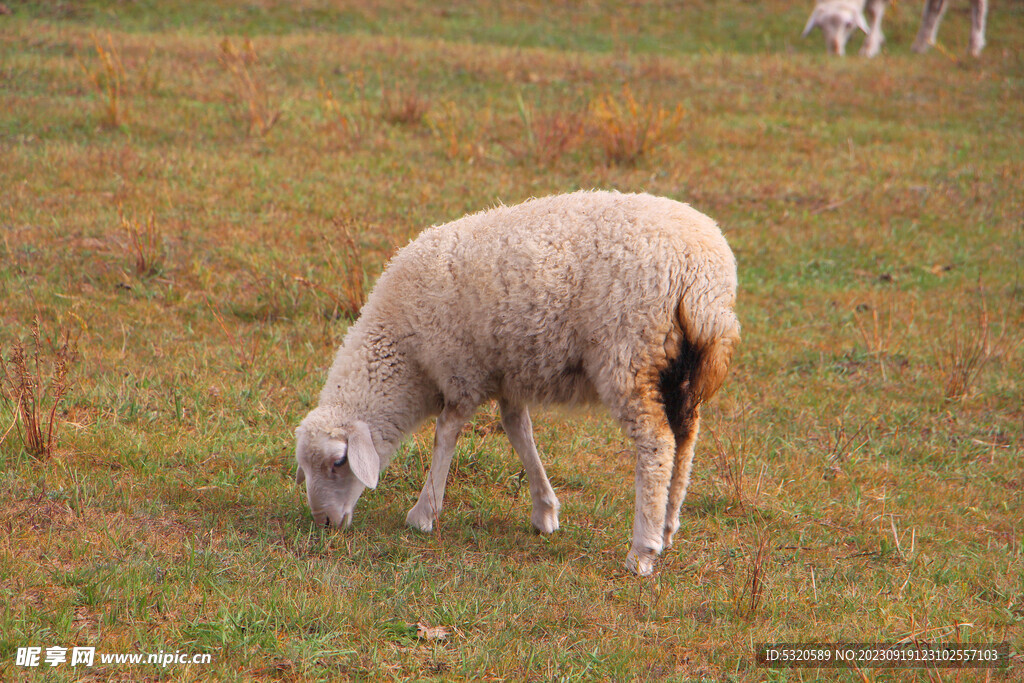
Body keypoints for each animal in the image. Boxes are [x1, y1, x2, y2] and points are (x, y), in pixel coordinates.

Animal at [292, 188, 741, 577]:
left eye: (338, 463)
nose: (324, 523)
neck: (404, 354)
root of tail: (704, 276)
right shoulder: (506, 374)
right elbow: (518, 431)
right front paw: (545, 510)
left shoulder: (460, 369)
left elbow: (446, 434)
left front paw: (424, 513)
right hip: (682, 366)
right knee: (685, 440)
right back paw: (666, 526)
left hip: (629, 352)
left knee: (656, 444)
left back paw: (642, 549)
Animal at [802, 0, 987, 57]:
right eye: (820, 27)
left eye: (848, 24)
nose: (834, 52)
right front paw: (878, 38)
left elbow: (873, 10)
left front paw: (869, 47)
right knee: (936, 6)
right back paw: (922, 43)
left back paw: (974, 46)